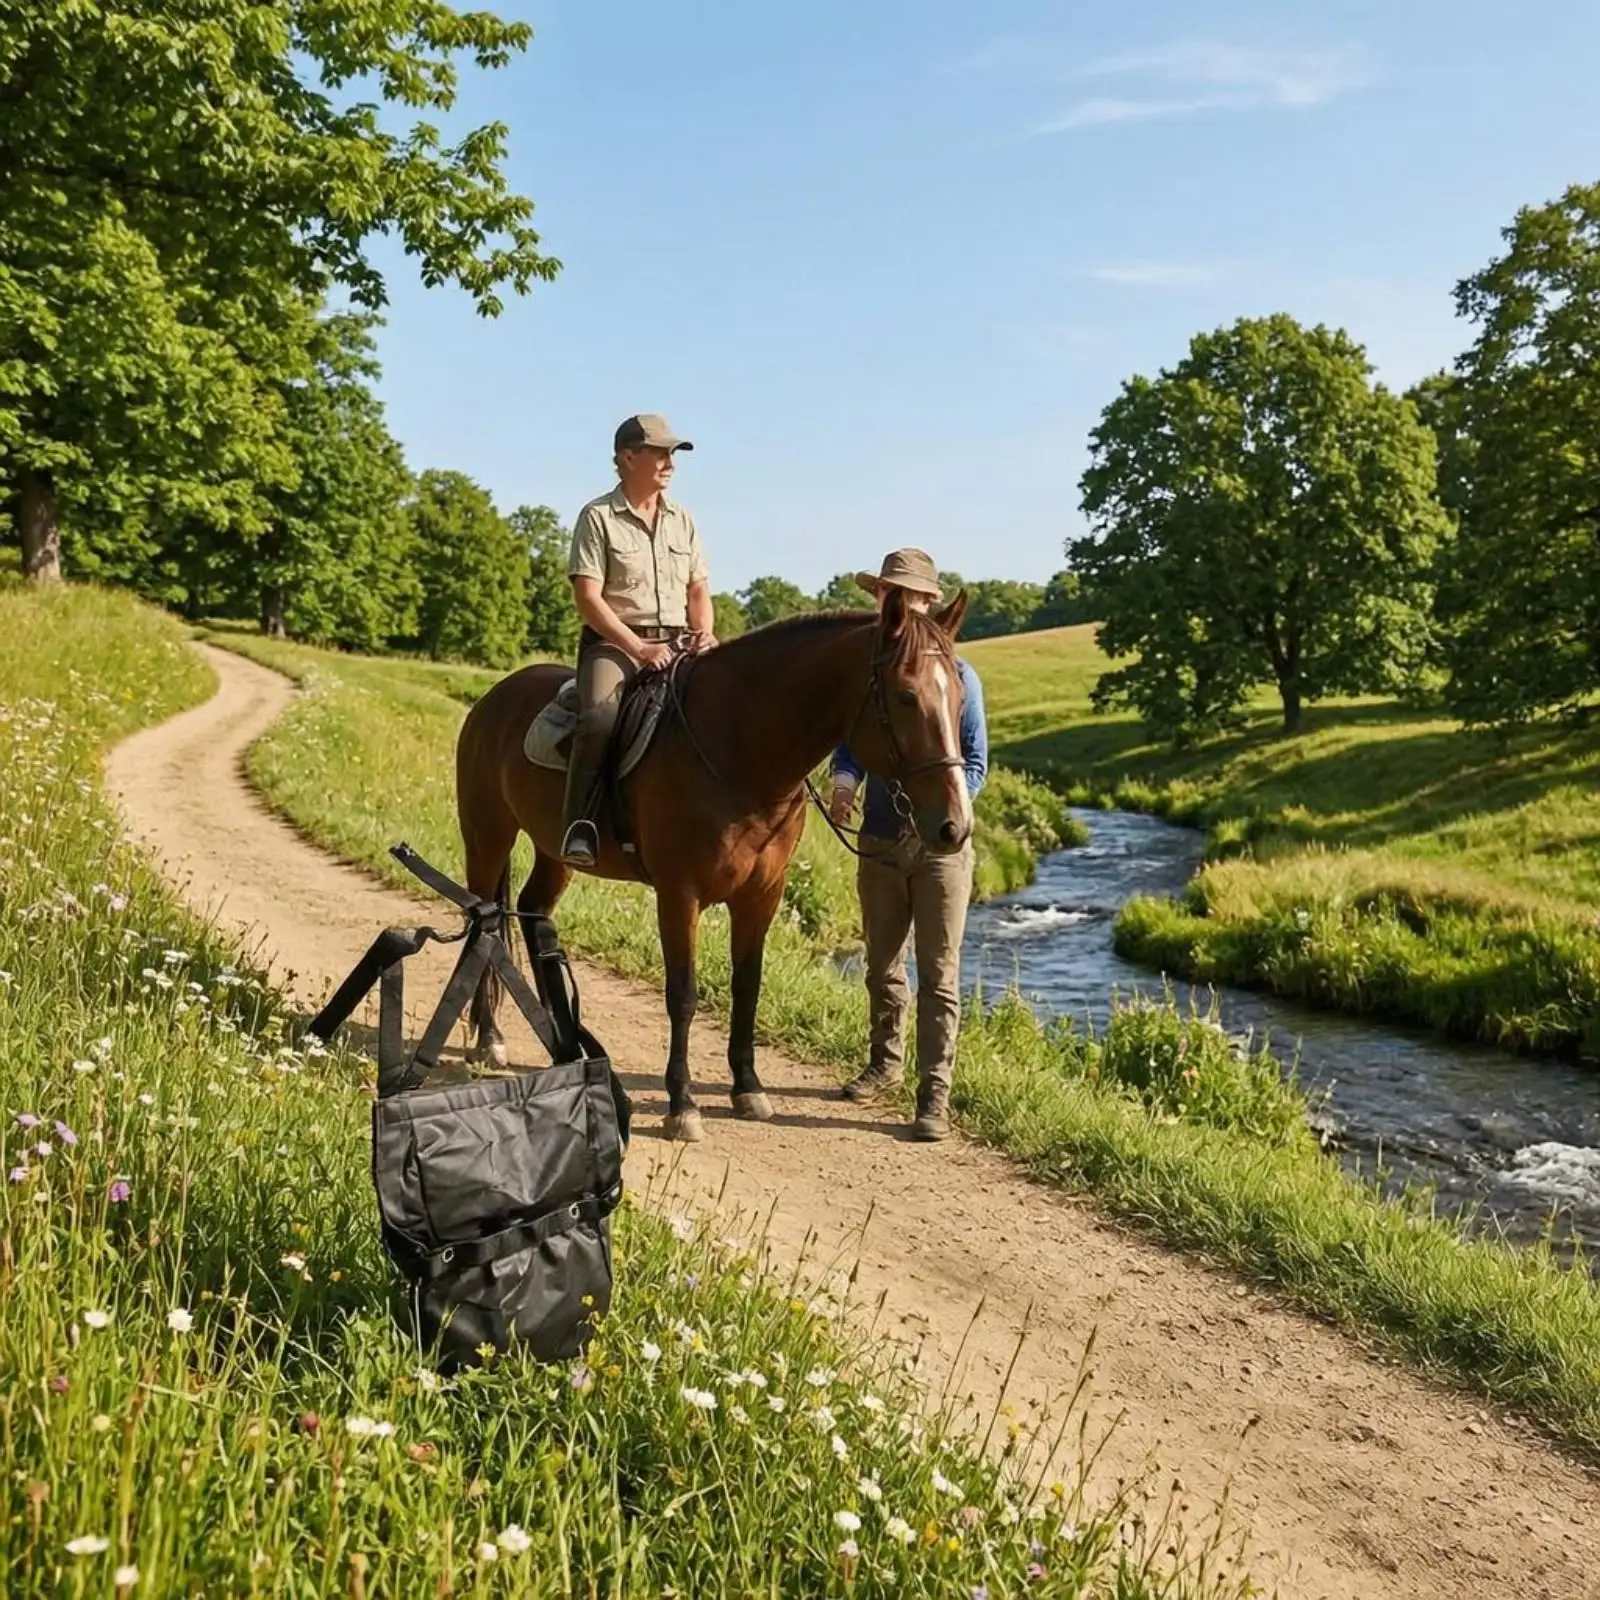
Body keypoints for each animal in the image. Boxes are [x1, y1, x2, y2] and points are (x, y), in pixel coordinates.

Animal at [453, 585, 972, 1141]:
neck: (740, 751)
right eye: (906, 695)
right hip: (487, 839)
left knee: (533, 913)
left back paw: (563, 1042)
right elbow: (683, 994)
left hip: (555, 851)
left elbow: (748, 986)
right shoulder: (680, 894)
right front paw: (683, 1105)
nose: (955, 826)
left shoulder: (761, 897)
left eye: (960, 700)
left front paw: (747, 1087)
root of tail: (495, 698)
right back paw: (490, 1040)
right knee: (485, 922)